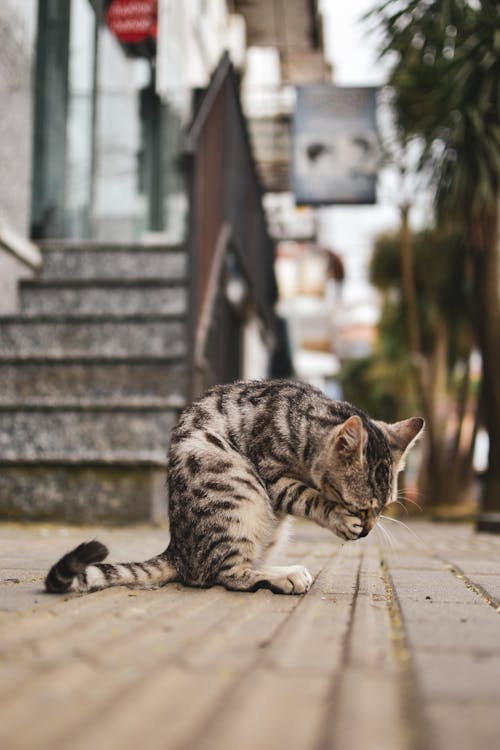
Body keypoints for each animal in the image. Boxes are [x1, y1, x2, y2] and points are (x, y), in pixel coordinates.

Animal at [46, 382, 422, 600]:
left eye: (383, 508)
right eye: (358, 506)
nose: (368, 530)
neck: (303, 421)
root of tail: (178, 550)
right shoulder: (272, 477)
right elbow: (308, 497)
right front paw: (339, 518)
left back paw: (284, 571)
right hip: (241, 490)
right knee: (222, 574)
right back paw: (283, 579)